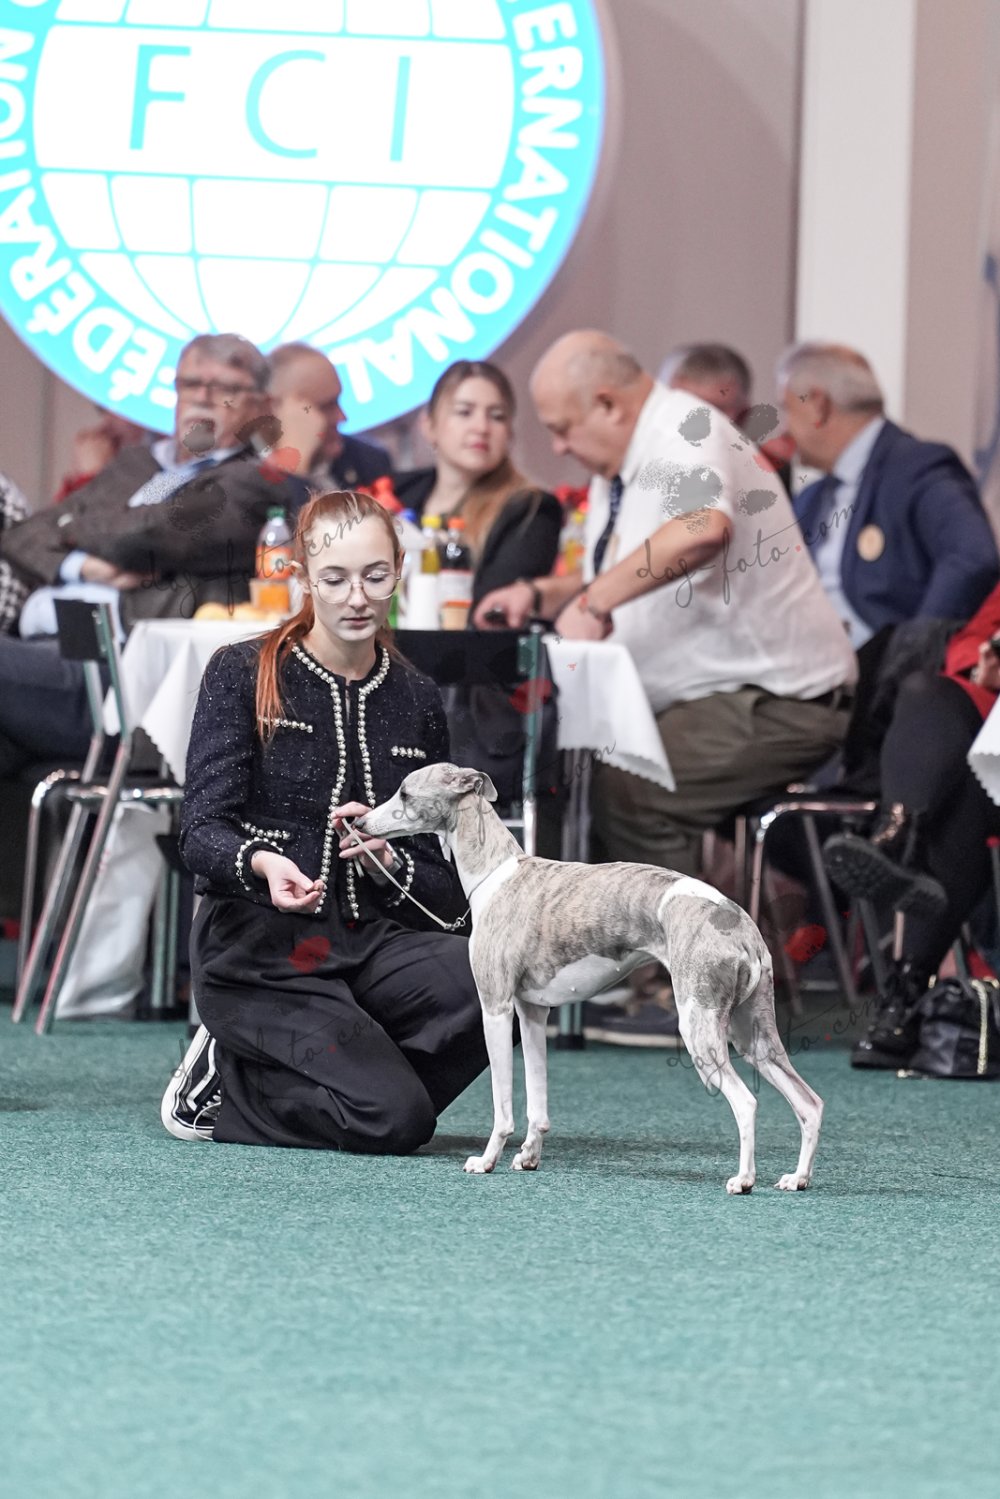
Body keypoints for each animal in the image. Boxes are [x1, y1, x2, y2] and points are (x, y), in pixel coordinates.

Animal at [359, 764, 823, 1193]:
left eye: (404, 792)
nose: (360, 824)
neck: (497, 873)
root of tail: (742, 924)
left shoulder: (495, 1008)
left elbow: (503, 1106)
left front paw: (488, 1160)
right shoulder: (532, 1013)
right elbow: (538, 1104)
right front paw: (528, 1157)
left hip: (700, 1028)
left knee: (746, 1102)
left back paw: (743, 1179)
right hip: (755, 1037)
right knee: (810, 1103)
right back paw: (797, 1178)